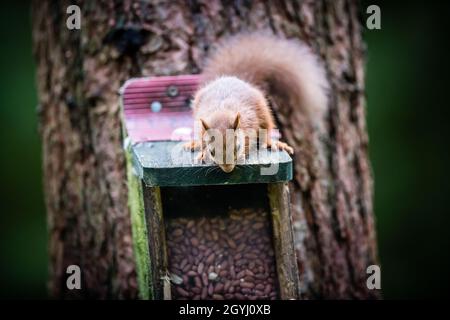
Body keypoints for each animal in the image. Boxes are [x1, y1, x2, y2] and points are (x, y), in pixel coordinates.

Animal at [185, 33, 328, 172]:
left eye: (237, 147)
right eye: (212, 152)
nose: (228, 169)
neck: (222, 111)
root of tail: (234, 77)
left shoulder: (249, 122)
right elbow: (202, 142)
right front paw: (202, 153)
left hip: (264, 112)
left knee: (267, 130)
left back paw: (273, 143)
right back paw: (193, 144)